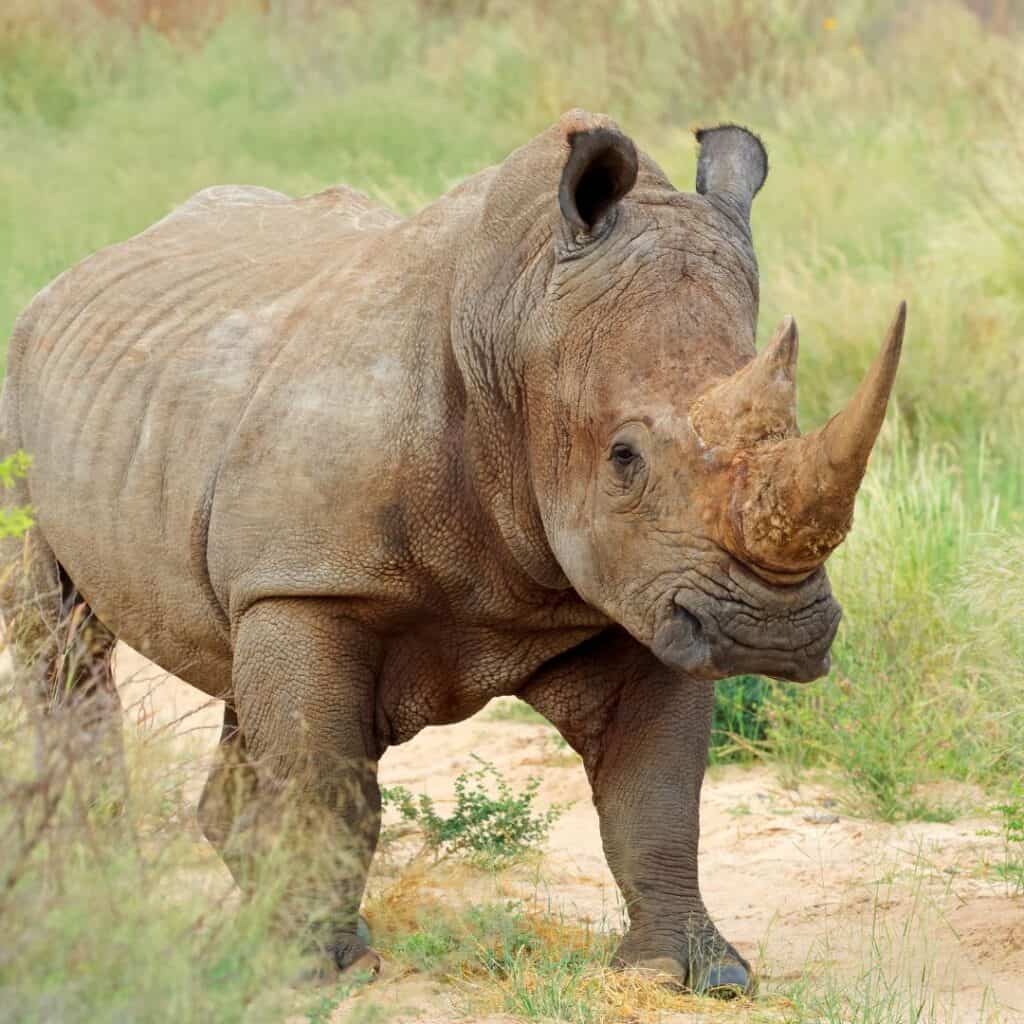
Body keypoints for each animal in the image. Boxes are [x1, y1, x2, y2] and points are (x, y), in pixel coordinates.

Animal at [1, 109, 904, 995]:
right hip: (29, 389)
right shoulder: (313, 583)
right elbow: (327, 779)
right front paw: (318, 973)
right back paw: (96, 896)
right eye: (624, 458)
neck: (517, 326)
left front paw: (696, 972)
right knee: (61, 641)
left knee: (231, 666)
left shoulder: (648, 591)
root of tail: (84, 270)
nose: (770, 633)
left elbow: (657, 798)